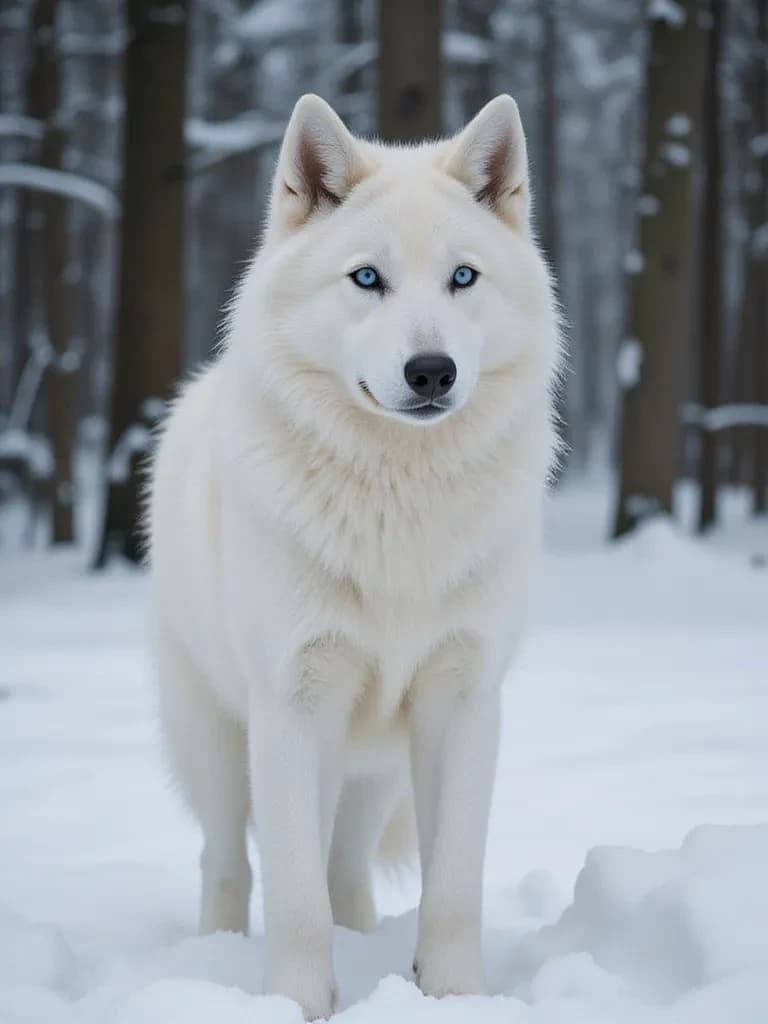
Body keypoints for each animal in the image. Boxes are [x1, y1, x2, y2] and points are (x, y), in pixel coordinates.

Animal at [147, 93, 559, 1019]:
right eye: (367, 279)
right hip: (222, 744)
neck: (398, 507)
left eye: (463, 278)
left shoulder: (463, 703)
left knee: (345, 872)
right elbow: (294, 897)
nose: (432, 370)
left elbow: (452, 888)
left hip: (375, 774)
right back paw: (217, 958)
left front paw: (455, 996)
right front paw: (298, 1004)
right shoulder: (294, 707)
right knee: (227, 861)